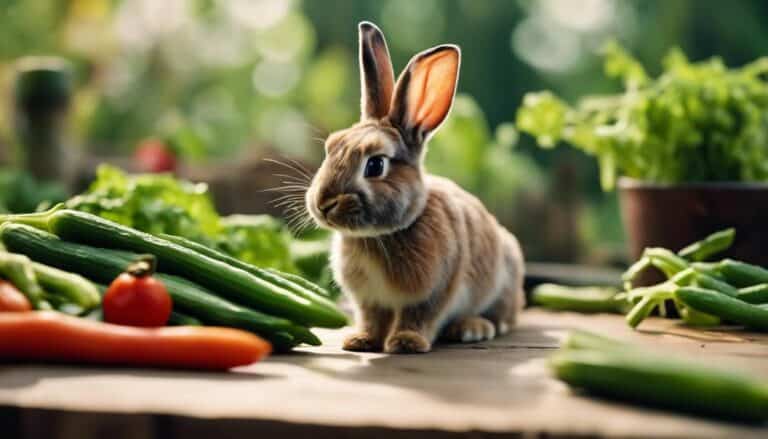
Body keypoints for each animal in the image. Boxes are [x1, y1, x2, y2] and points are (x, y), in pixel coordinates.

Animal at [305, 21, 525, 353]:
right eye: (331, 147)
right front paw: (360, 341)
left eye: (375, 165)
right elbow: (371, 319)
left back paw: (472, 328)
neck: (380, 236)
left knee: (503, 319)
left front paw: (406, 343)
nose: (323, 203)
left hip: (502, 282)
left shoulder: (436, 290)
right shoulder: (369, 300)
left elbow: (419, 316)